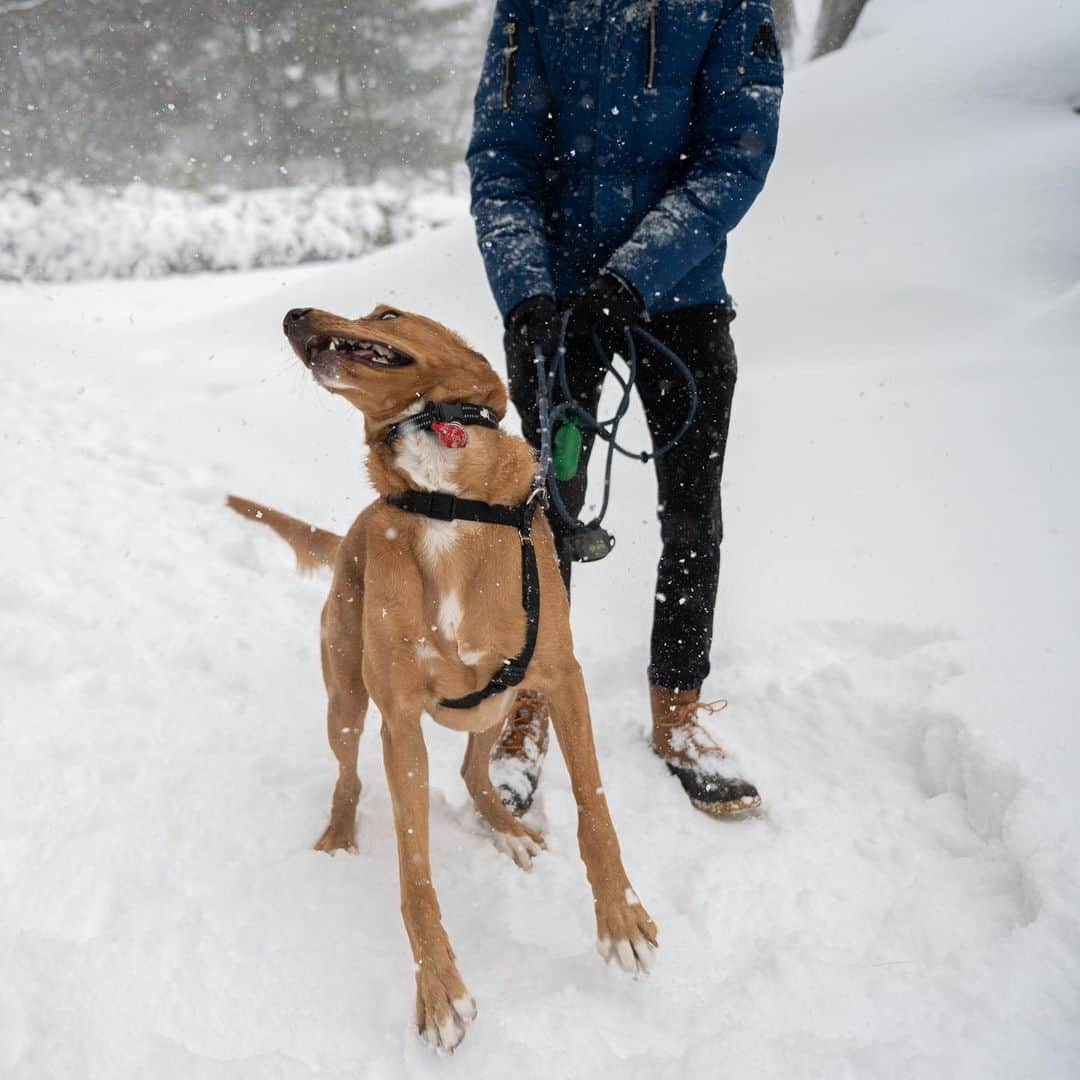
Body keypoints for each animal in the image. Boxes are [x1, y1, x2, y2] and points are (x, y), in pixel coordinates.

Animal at [226, 304, 652, 1054]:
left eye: (387, 314)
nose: (295, 315)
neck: (444, 500)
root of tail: (351, 532)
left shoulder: (562, 678)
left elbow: (595, 809)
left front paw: (622, 918)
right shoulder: (399, 722)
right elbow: (414, 870)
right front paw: (437, 989)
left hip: (498, 702)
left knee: (474, 773)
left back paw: (507, 829)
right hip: (346, 700)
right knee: (350, 775)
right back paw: (339, 836)